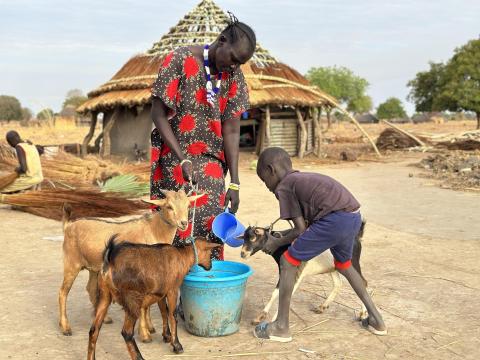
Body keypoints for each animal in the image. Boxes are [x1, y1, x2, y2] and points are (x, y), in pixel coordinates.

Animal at [59, 188, 203, 340]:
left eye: (188, 205)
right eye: (169, 206)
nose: (183, 223)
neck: (154, 230)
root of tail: (68, 226)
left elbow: (148, 304)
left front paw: (150, 328)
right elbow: (143, 305)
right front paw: (144, 334)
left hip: (93, 267)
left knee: (91, 288)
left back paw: (105, 318)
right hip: (71, 263)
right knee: (63, 292)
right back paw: (65, 327)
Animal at [87, 236, 219, 360]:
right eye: (210, 252)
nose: (210, 266)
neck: (183, 256)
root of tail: (109, 262)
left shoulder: (160, 293)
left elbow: (164, 312)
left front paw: (167, 336)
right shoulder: (173, 290)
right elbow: (173, 315)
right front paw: (176, 345)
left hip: (104, 295)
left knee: (94, 330)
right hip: (132, 299)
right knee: (126, 332)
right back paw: (139, 356)